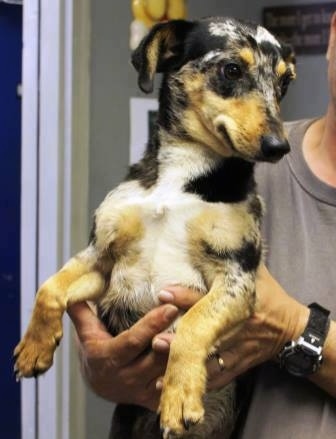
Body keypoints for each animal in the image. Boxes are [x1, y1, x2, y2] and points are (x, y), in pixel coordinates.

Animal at [14, 15, 296, 438]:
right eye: (232, 69)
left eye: (284, 83)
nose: (280, 147)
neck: (181, 175)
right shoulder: (102, 258)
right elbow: (49, 287)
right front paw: (34, 348)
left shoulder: (237, 279)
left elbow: (193, 324)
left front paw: (179, 396)